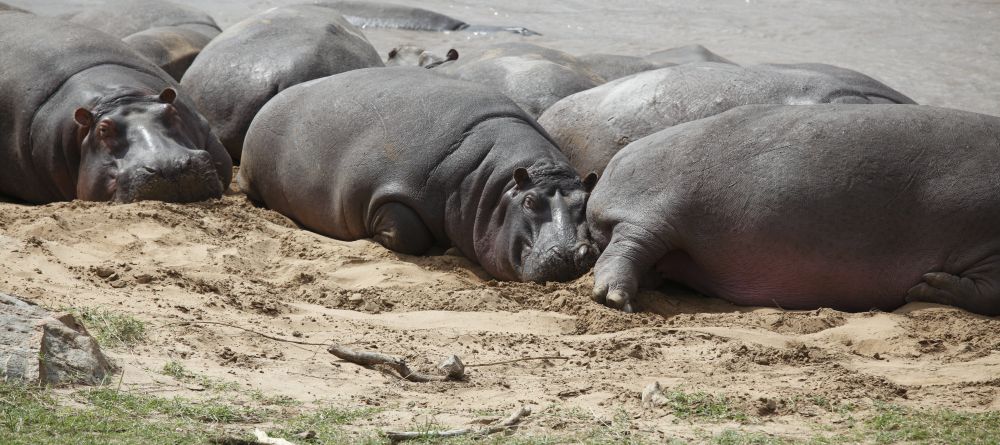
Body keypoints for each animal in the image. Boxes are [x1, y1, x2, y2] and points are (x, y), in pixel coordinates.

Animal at [239, 67, 599, 283]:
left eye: (586, 202)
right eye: (529, 202)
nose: (572, 253)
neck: (491, 183)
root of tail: (272, 101)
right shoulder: (392, 193)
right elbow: (406, 232)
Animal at [589, 104, 1000, 316]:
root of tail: (611, 165)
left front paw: (928, 285)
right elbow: (989, 293)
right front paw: (926, 286)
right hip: (657, 214)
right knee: (627, 249)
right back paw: (615, 300)